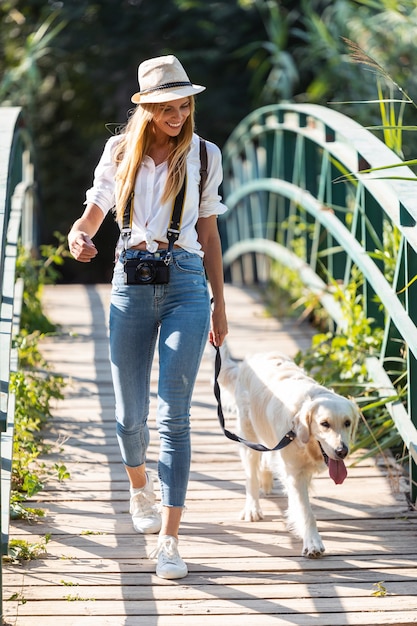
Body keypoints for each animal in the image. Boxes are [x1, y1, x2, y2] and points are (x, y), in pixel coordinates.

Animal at [216, 342, 360, 556]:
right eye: (324, 424)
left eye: (347, 423)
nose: (342, 451)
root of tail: (251, 359)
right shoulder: (295, 473)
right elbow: (306, 511)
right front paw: (313, 543)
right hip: (248, 433)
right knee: (251, 475)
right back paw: (252, 508)